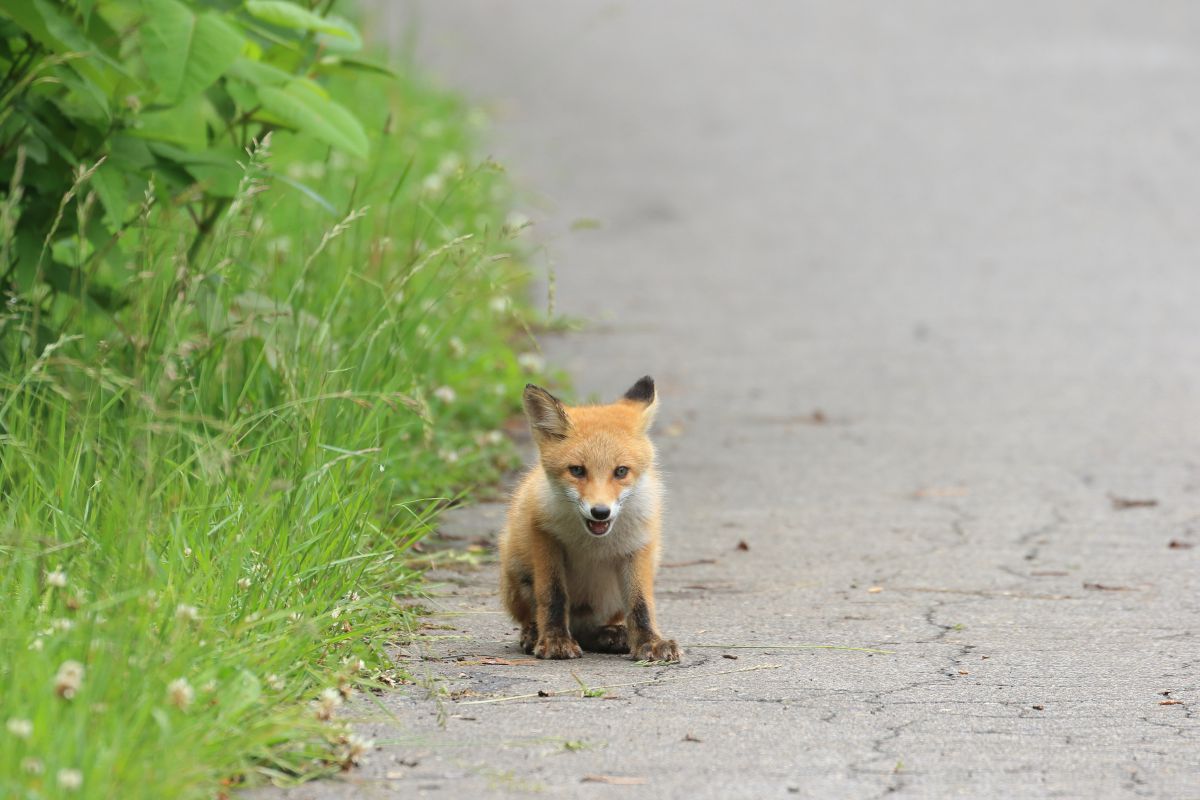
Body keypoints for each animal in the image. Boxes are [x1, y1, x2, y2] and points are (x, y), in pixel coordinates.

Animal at [496, 376, 681, 662]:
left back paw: (611, 635)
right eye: (577, 470)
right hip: (516, 568)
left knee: (595, 628)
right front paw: (555, 640)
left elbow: (641, 604)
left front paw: (650, 642)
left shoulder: (639, 546)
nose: (600, 511)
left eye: (621, 471)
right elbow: (553, 596)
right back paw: (534, 633)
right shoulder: (545, 537)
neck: (593, 543)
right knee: (534, 616)